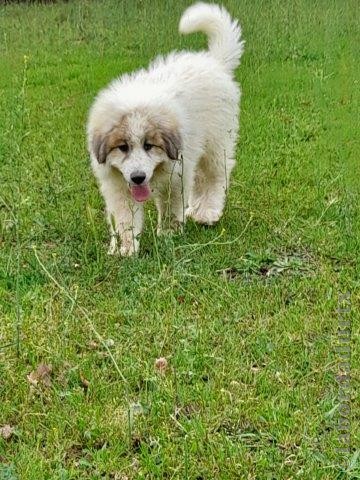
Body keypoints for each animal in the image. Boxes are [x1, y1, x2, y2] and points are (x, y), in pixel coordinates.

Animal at [87, 1, 245, 256]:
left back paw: (207, 213)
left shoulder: (176, 173)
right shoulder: (118, 185)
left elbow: (171, 206)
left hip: (216, 141)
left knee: (213, 176)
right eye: (122, 147)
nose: (138, 177)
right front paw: (126, 248)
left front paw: (168, 234)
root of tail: (213, 62)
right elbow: (125, 217)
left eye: (149, 145)